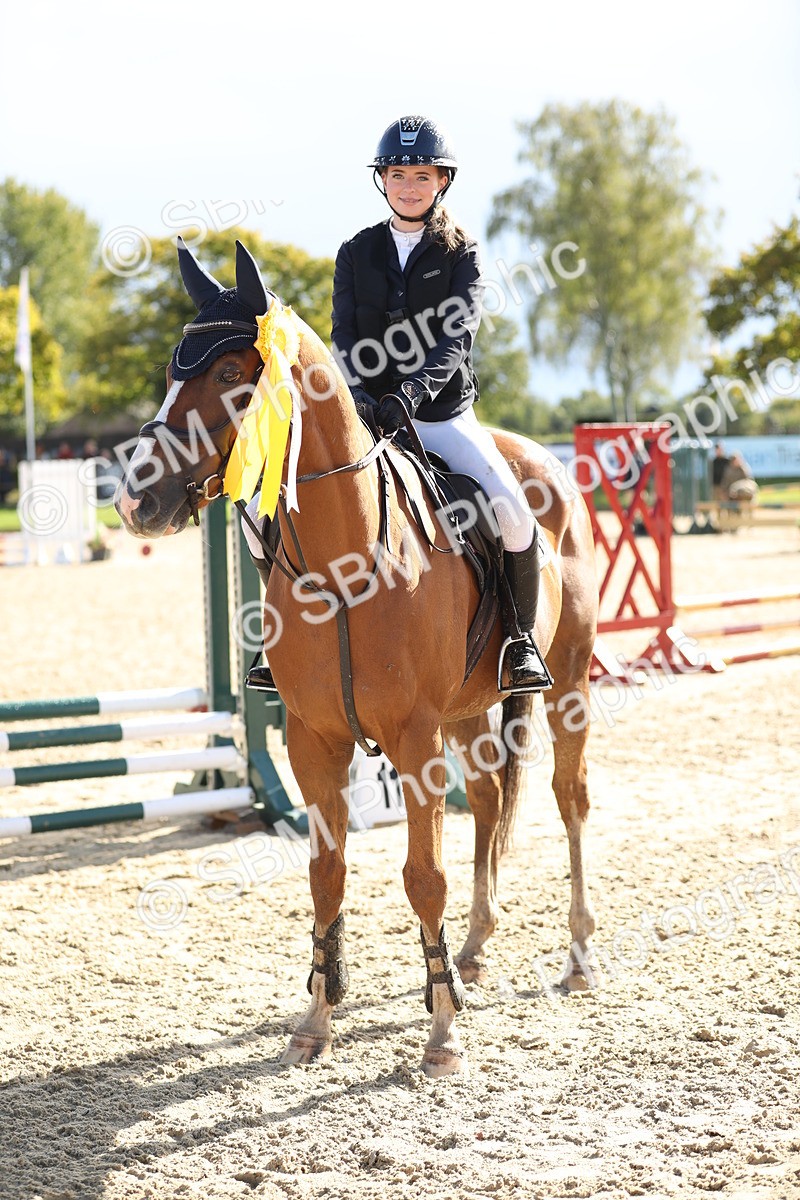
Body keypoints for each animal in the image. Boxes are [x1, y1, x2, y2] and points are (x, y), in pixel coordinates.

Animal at [116, 238, 600, 1078]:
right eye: (173, 368)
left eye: (233, 374)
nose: (137, 501)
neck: (342, 561)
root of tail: (541, 459)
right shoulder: (315, 741)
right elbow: (326, 873)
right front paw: (317, 1017)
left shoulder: (412, 738)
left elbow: (422, 877)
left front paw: (442, 1032)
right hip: (468, 711)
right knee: (488, 800)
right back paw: (473, 951)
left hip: (566, 678)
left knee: (569, 798)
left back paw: (575, 956)